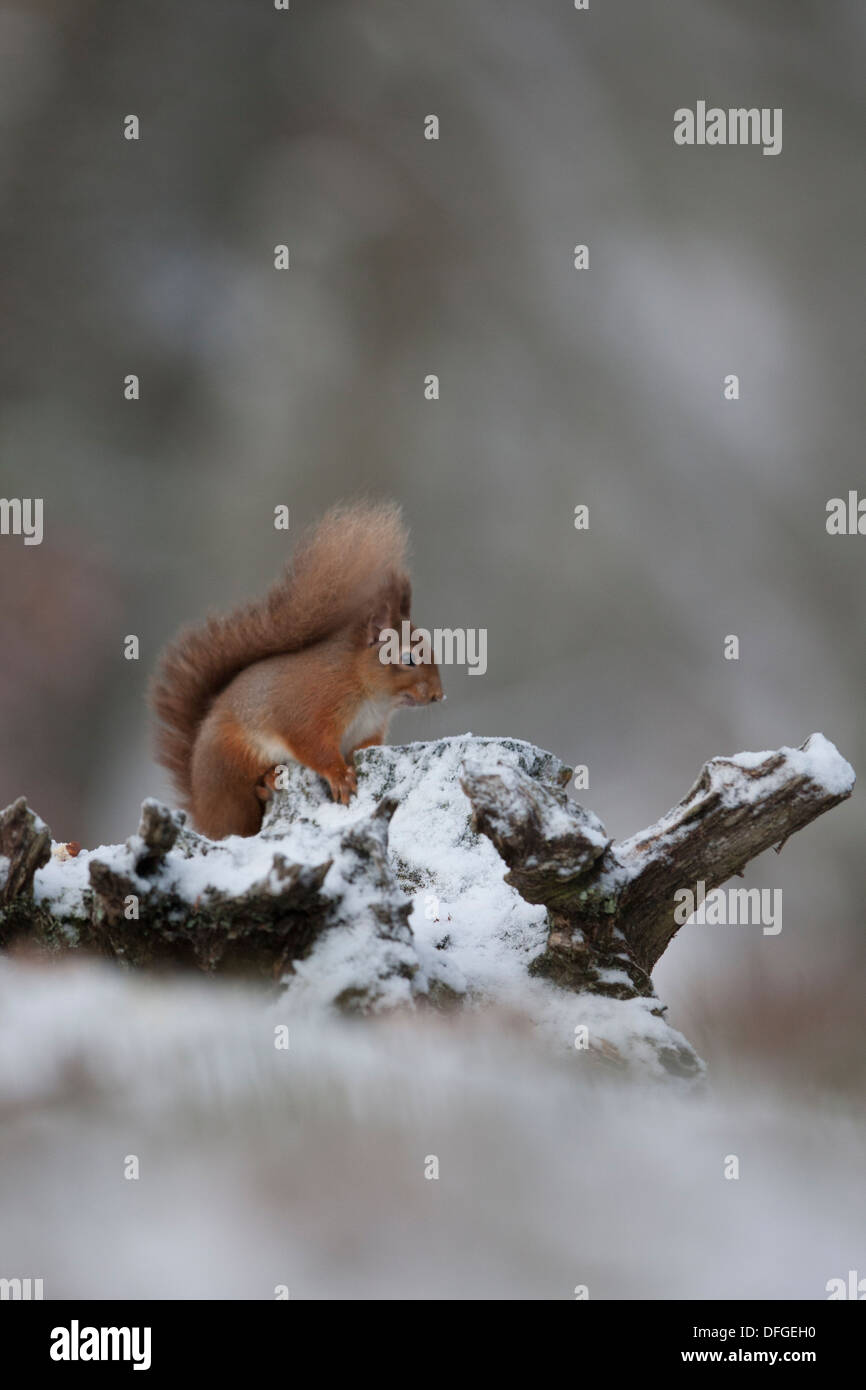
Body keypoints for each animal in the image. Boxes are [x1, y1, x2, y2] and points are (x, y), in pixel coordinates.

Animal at [148, 505, 444, 839]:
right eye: (409, 658)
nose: (438, 695)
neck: (369, 694)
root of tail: (202, 810)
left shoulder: (369, 730)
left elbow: (364, 748)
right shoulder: (309, 708)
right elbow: (312, 744)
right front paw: (340, 776)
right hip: (232, 764)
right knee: (242, 813)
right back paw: (265, 783)